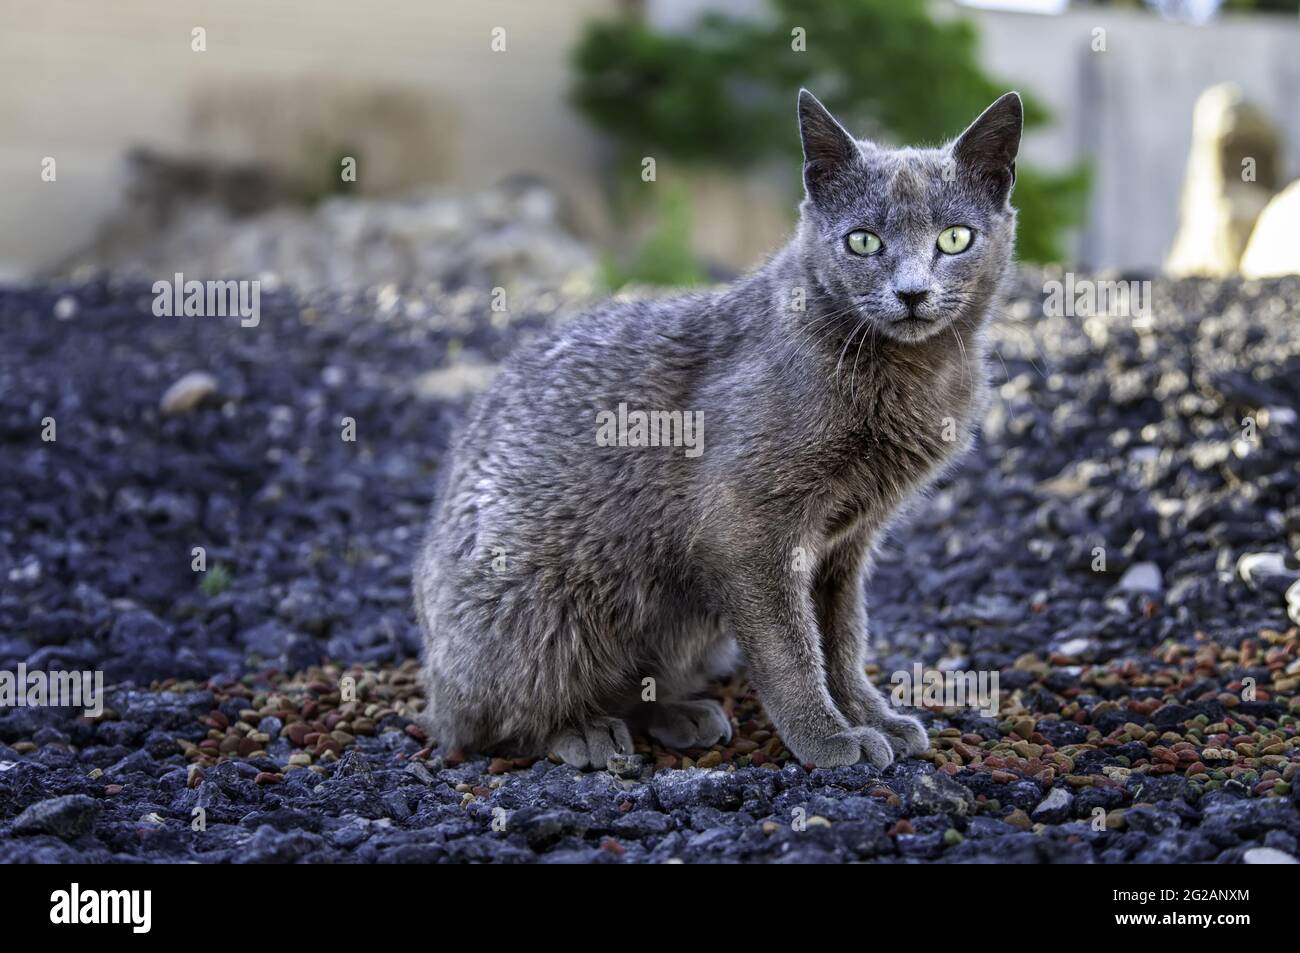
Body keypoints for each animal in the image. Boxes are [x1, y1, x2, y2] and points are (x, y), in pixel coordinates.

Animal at [410, 89, 1019, 769]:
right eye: (863, 242)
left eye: (955, 238)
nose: (912, 292)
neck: (913, 372)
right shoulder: (746, 526)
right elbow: (791, 649)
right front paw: (828, 738)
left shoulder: (847, 543)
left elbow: (843, 638)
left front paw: (871, 717)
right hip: (539, 603)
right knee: (496, 720)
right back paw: (583, 731)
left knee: (638, 688)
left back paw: (681, 714)